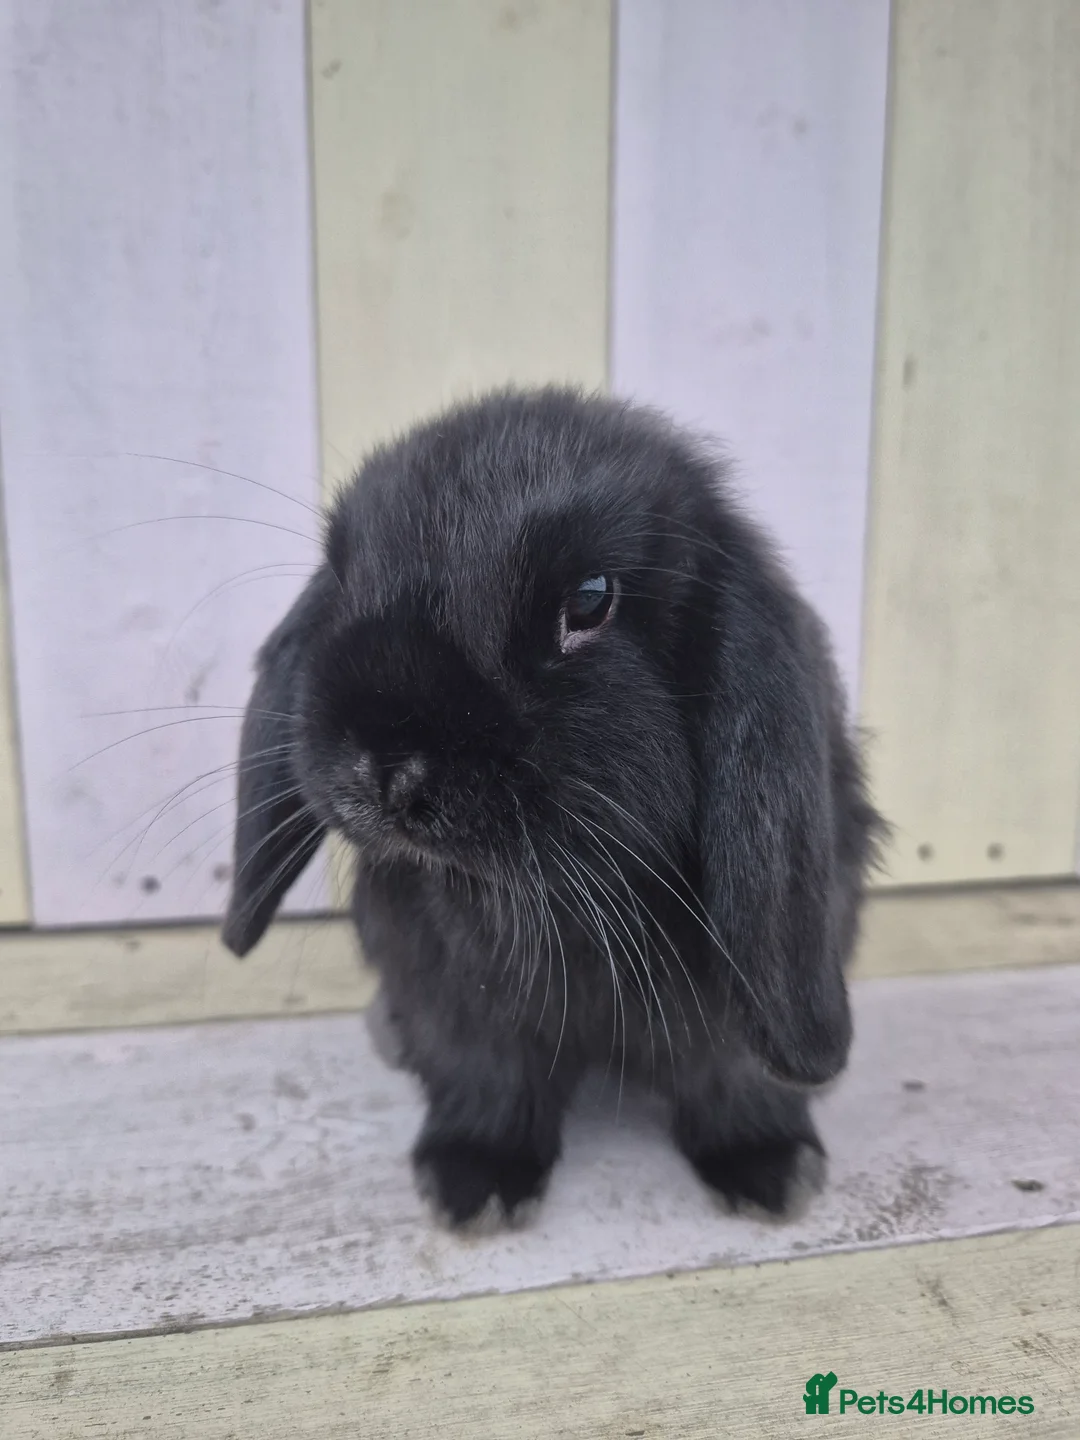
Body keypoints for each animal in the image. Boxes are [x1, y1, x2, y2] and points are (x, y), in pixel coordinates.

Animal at [222, 387, 885, 1231]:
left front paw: (770, 1169)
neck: (558, 899)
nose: (386, 768)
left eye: (590, 601)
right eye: (342, 580)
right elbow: (488, 1078)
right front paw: (473, 1185)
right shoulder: (453, 1003)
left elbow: (734, 1077)